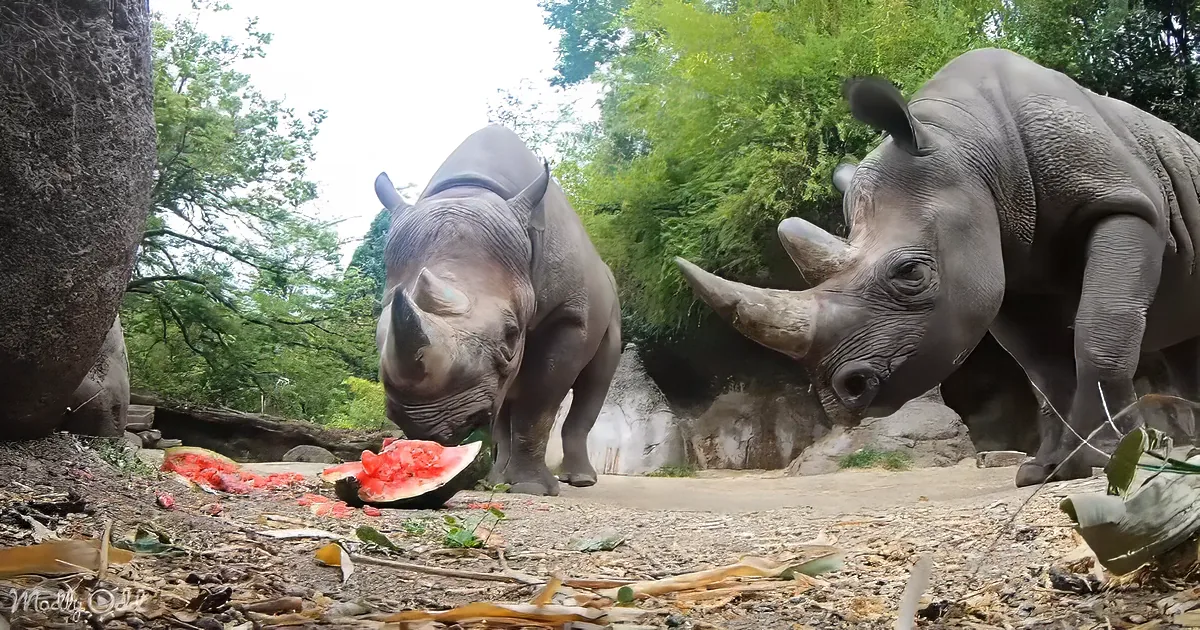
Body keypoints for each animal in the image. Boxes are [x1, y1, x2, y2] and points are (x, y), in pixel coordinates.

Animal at [372, 124, 622, 496]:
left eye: (511, 335)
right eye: (379, 337)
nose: (429, 428)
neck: (471, 191)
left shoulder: (568, 314)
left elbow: (540, 399)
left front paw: (531, 490)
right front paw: (509, 483)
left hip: (611, 301)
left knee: (596, 379)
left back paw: (579, 480)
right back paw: (498, 481)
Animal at [675, 47, 1200, 488]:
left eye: (911, 274)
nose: (841, 393)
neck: (969, 145)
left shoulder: (1123, 205)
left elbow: (1101, 329)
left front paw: (1105, 459)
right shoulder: (1004, 267)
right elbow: (1043, 371)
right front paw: (1045, 472)